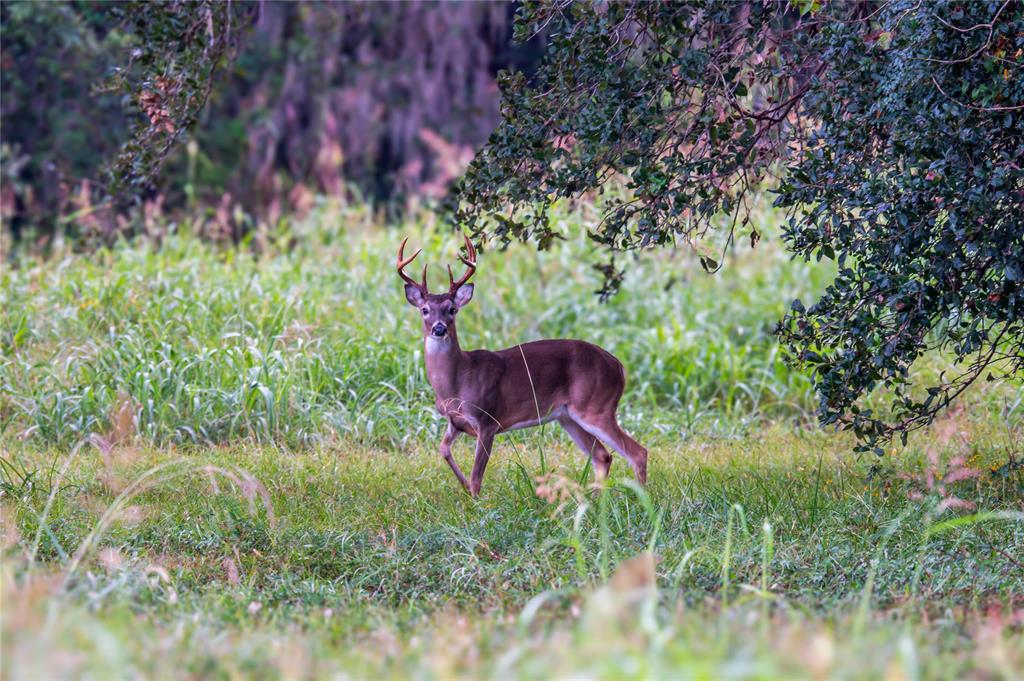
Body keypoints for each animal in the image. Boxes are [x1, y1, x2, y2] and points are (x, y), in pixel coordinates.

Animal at [395, 236, 643, 497]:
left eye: (452, 309)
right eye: (425, 310)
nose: (439, 328)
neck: (456, 383)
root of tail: (618, 366)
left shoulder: (488, 420)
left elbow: (476, 477)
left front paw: (474, 500)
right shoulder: (454, 422)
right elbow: (443, 450)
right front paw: (463, 488)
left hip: (596, 406)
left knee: (637, 452)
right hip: (567, 416)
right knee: (603, 456)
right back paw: (594, 501)